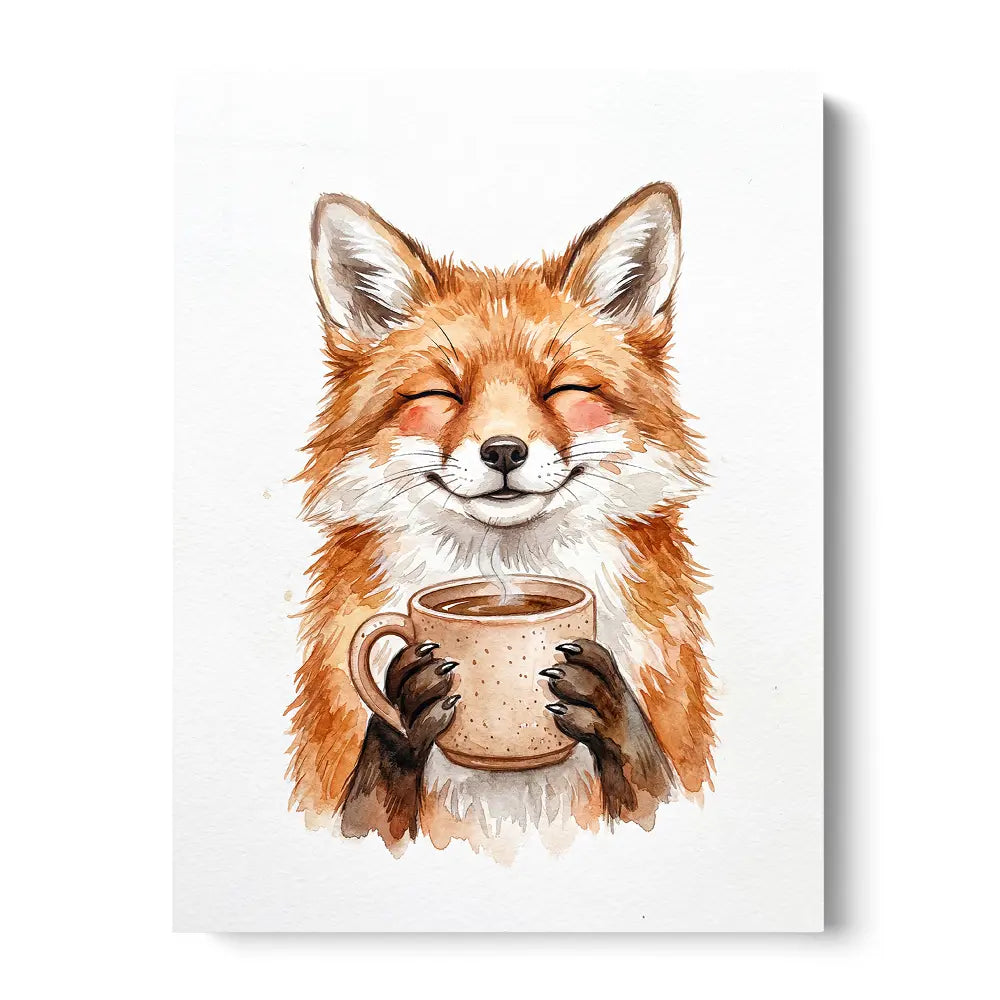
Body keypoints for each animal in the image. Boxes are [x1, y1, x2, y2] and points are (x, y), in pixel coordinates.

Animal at [286, 183, 715, 856]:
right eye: (440, 395)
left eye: (563, 389)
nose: (505, 451)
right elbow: (369, 811)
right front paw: (405, 710)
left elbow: (654, 792)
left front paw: (610, 710)